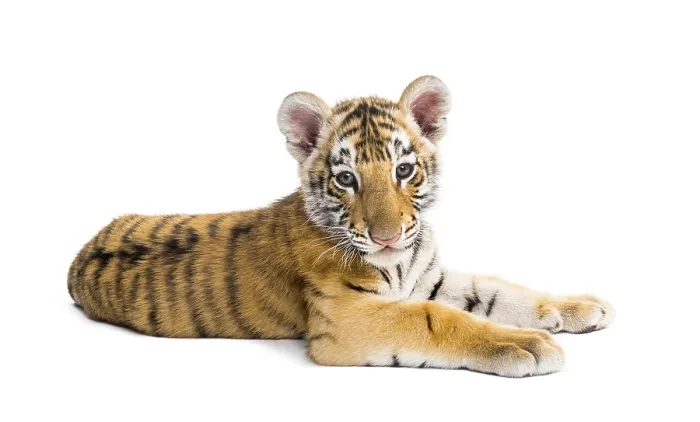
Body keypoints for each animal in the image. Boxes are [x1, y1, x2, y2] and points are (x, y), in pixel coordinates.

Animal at [68, 76, 615, 377]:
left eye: (404, 170)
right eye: (346, 178)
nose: (387, 237)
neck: (401, 263)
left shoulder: (429, 276)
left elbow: (499, 288)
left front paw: (578, 308)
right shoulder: (347, 318)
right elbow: (434, 319)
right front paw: (524, 344)